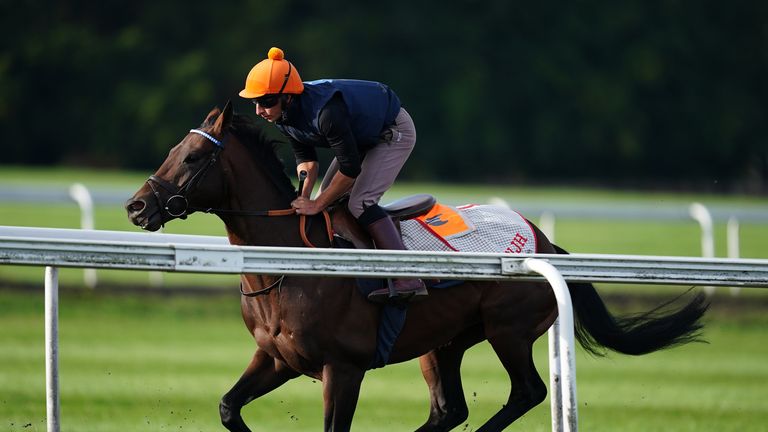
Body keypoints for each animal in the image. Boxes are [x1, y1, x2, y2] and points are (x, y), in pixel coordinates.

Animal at [126, 102, 708, 432]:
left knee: (528, 392)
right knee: (449, 409)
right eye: (174, 150)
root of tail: (544, 241)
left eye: (193, 158)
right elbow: (229, 407)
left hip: (509, 329)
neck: (291, 262)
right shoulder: (277, 358)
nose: (136, 206)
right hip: (442, 342)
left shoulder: (343, 368)